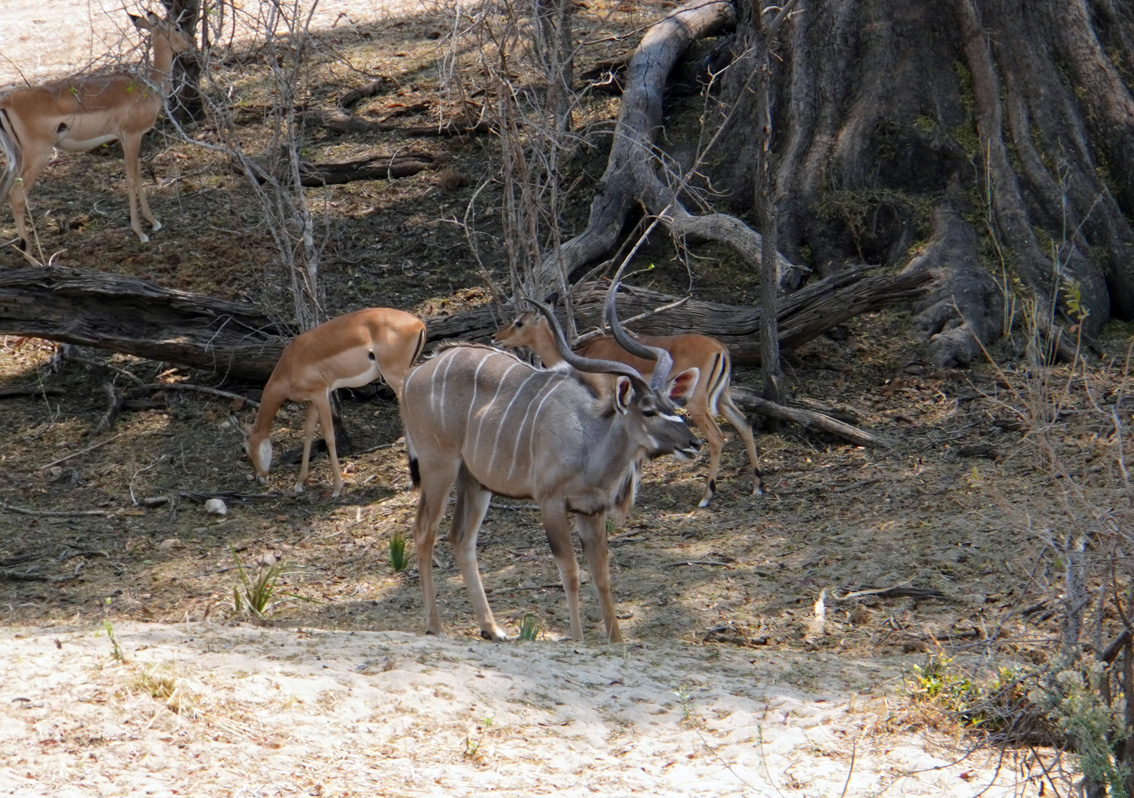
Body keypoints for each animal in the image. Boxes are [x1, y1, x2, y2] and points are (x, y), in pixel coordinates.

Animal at [0, 10, 193, 248]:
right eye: (176, 28)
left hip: (15, 158)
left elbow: (138, 176)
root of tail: (5, 103)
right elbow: (131, 178)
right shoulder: (131, 136)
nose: (190, 46)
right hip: (37, 155)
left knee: (4, 193)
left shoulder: (129, 138)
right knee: (17, 196)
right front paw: (140, 232)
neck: (148, 87)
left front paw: (154, 223)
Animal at [234, 308, 427, 498]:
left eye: (244, 449)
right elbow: (308, 434)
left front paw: (337, 489)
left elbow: (329, 436)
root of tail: (419, 323)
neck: (291, 362)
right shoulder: (312, 400)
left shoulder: (320, 394)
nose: (260, 479)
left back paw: (411, 483)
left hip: (394, 377)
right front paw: (299, 484)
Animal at [400, 287, 701, 642]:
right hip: (439, 467)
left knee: (461, 538)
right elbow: (570, 571)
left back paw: (492, 629)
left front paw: (615, 639)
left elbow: (601, 574)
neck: (588, 438)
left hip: (474, 482)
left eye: (673, 405)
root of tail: (411, 377)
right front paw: (578, 637)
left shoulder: (592, 510)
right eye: (648, 411)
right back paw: (435, 626)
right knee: (424, 531)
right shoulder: (551, 503)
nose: (693, 443)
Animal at [494, 301, 762, 508]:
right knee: (745, 425)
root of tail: (721, 349)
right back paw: (757, 486)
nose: (496, 337)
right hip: (723, 399)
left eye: (519, 322)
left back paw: (706, 497)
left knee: (717, 437)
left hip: (698, 406)